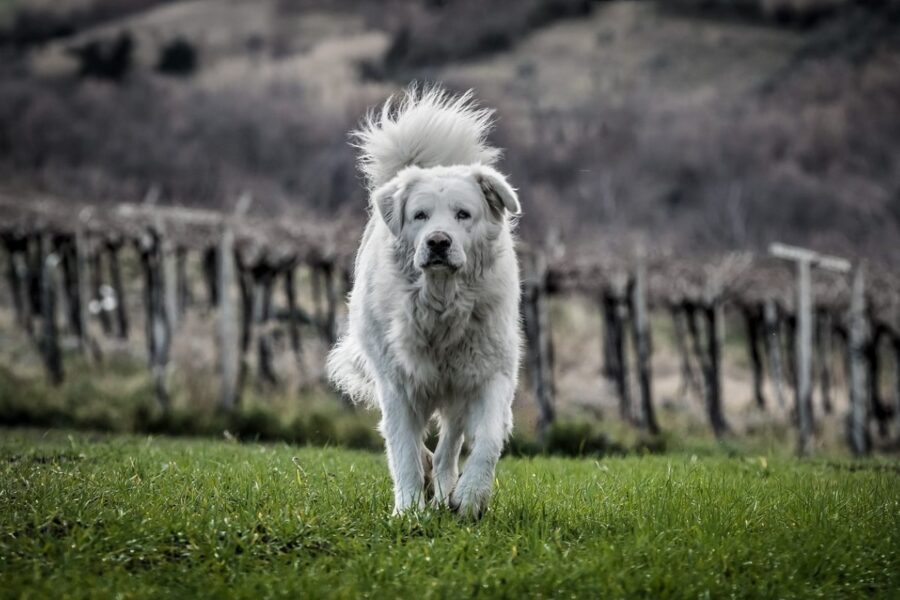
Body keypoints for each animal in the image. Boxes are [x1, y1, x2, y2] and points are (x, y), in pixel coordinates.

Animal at [326, 85, 520, 516]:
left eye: (463, 214)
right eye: (420, 216)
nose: (438, 242)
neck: (441, 304)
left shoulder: (489, 375)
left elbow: (487, 440)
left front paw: (470, 497)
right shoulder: (398, 384)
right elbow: (402, 451)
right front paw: (409, 511)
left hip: (458, 389)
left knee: (449, 445)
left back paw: (447, 488)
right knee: (422, 447)